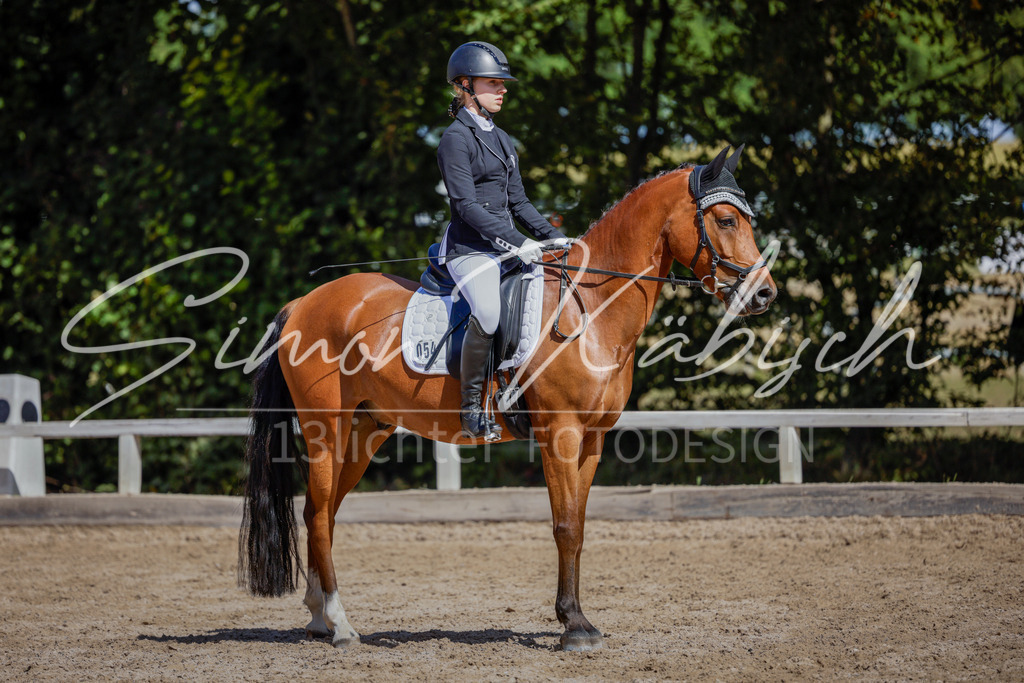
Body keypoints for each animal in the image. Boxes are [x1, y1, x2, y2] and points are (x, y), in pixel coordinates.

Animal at [238, 145, 778, 651]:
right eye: (726, 220)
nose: (764, 294)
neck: (590, 310)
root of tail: (302, 303)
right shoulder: (560, 432)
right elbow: (565, 526)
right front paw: (574, 627)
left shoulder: (593, 439)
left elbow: (580, 525)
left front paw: (578, 620)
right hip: (325, 428)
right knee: (317, 513)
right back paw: (341, 625)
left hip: (365, 431)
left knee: (323, 512)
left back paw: (319, 619)